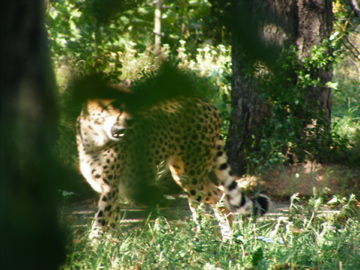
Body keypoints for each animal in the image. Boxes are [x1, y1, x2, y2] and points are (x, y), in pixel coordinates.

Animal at [75, 77, 270, 239]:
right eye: (113, 105)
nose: (130, 121)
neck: (94, 138)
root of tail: (206, 103)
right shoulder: (112, 189)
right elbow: (112, 220)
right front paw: (110, 246)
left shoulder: (110, 188)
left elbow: (101, 220)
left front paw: (94, 247)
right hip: (182, 172)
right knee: (219, 194)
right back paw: (226, 239)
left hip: (190, 175)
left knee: (212, 198)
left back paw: (203, 240)